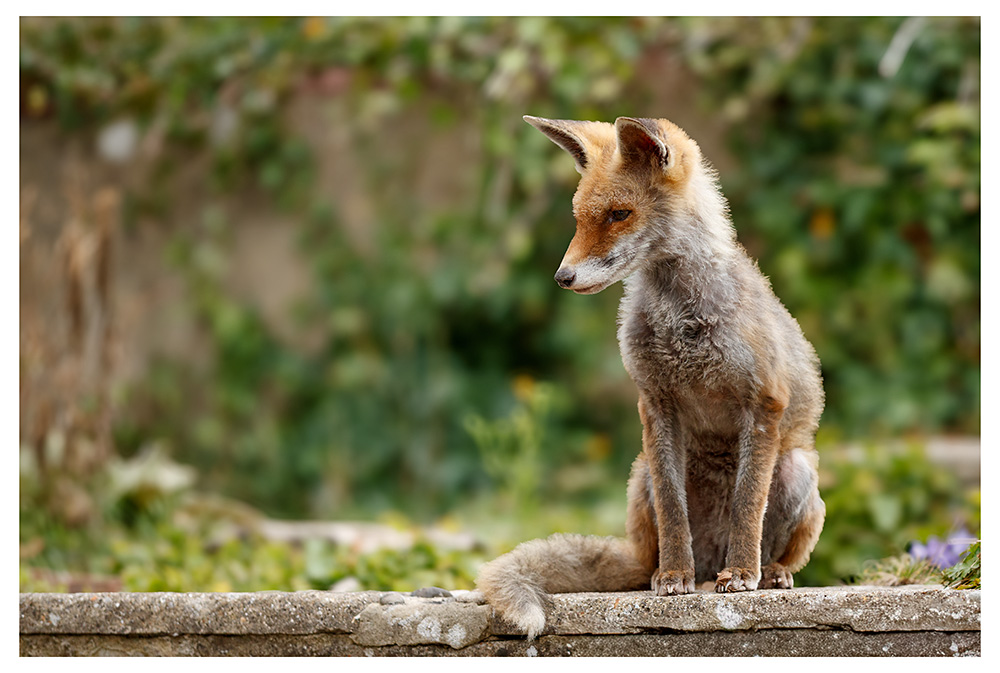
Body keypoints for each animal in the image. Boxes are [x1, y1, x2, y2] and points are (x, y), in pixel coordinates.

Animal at [476, 116, 826, 640]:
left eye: (619, 215)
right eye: (579, 219)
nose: (562, 277)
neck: (682, 319)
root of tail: (709, 563)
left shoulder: (763, 400)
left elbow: (748, 504)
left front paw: (742, 574)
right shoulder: (655, 402)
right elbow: (672, 507)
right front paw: (675, 577)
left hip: (799, 469)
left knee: (780, 547)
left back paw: (769, 573)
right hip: (639, 474)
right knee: (652, 557)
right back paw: (676, 574)